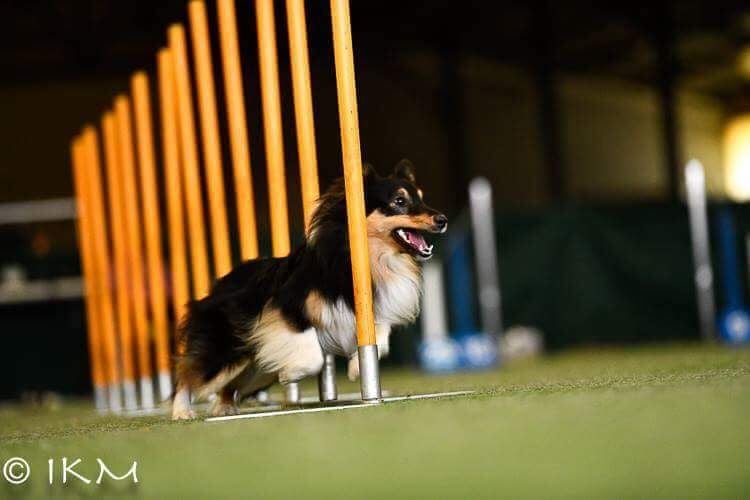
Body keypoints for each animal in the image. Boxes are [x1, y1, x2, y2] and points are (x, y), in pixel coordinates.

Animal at [173, 159, 446, 418]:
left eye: (421, 198)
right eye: (399, 201)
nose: (442, 220)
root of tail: (218, 285)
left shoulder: (371, 314)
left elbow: (381, 335)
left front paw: (357, 367)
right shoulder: (285, 310)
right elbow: (312, 353)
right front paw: (291, 374)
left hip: (255, 368)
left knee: (227, 384)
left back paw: (224, 407)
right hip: (225, 353)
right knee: (188, 372)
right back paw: (182, 411)